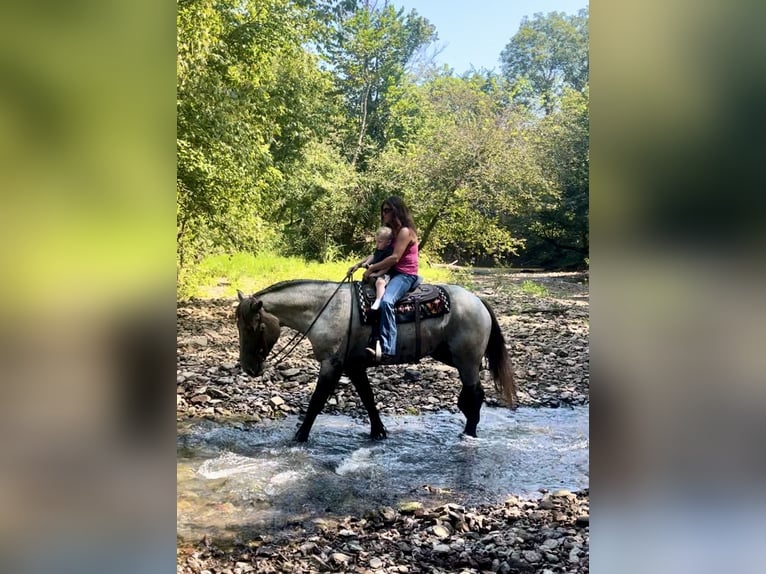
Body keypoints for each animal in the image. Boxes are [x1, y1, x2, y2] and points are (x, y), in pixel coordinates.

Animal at [237, 282, 520, 444]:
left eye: (255, 327)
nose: (249, 367)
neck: (328, 309)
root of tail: (478, 301)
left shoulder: (332, 364)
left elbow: (317, 401)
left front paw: (299, 437)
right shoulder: (354, 366)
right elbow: (368, 397)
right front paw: (378, 432)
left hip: (467, 361)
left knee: (474, 394)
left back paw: (469, 432)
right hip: (451, 357)